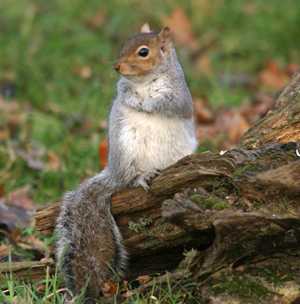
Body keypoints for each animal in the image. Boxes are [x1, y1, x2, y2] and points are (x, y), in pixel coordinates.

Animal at [56, 23, 197, 302]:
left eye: (143, 52)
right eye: (124, 44)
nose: (116, 66)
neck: (144, 81)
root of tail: (113, 172)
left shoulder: (180, 95)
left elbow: (171, 103)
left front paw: (149, 103)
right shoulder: (123, 87)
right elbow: (123, 92)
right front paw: (135, 101)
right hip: (127, 147)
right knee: (128, 181)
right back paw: (143, 176)